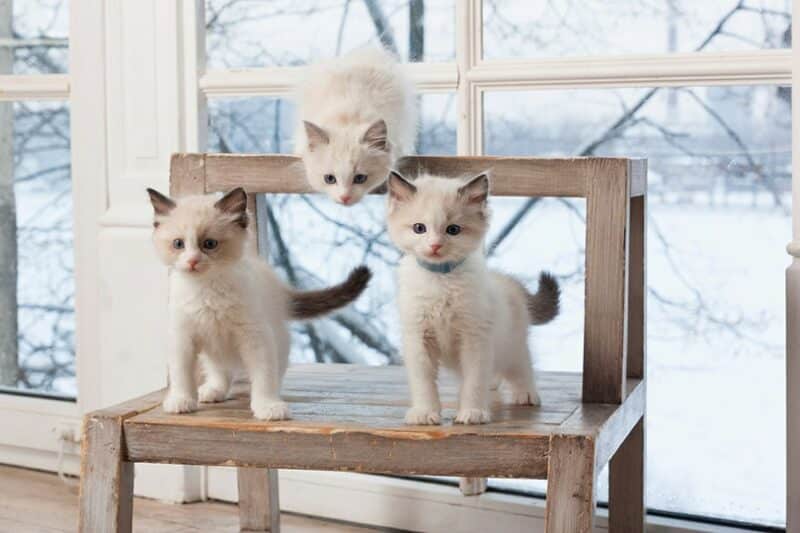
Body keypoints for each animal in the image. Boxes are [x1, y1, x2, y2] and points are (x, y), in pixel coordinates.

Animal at [147, 187, 372, 420]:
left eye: (209, 244)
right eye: (178, 244)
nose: (192, 261)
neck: (206, 290)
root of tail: (281, 292)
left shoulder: (256, 336)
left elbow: (264, 375)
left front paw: (268, 406)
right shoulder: (183, 337)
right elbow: (181, 374)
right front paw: (181, 399)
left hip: (279, 341)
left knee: (274, 371)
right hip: (214, 348)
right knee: (220, 369)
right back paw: (214, 390)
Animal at [384, 170, 560, 424]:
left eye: (453, 230)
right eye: (419, 228)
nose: (435, 245)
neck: (441, 281)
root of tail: (507, 280)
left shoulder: (475, 337)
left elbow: (474, 380)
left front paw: (472, 412)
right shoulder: (418, 336)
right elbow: (423, 382)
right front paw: (425, 412)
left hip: (512, 344)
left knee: (521, 366)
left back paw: (526, 394)